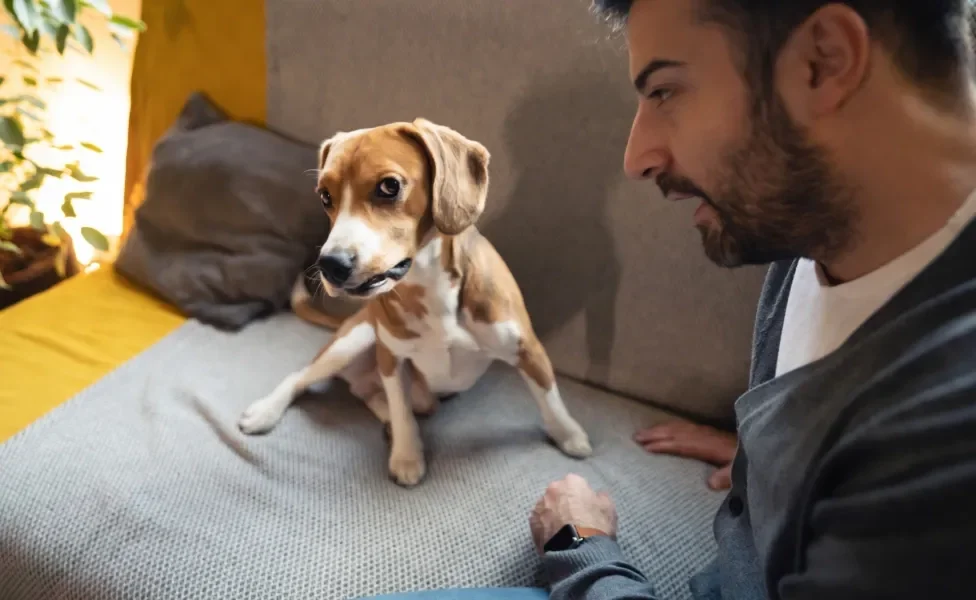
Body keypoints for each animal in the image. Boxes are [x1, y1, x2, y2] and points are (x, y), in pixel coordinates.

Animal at [242, 118, 596, 488]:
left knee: (374, 396)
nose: (330, 265)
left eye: (389, 186)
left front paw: (569, 436)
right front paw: (407, 456)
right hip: (353, 342)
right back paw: (266, 411)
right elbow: (401, 410)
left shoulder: (528, 347)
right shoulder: (392, 358)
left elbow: (550, 397)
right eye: (325, 196)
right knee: (301, 378)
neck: (428, 284)